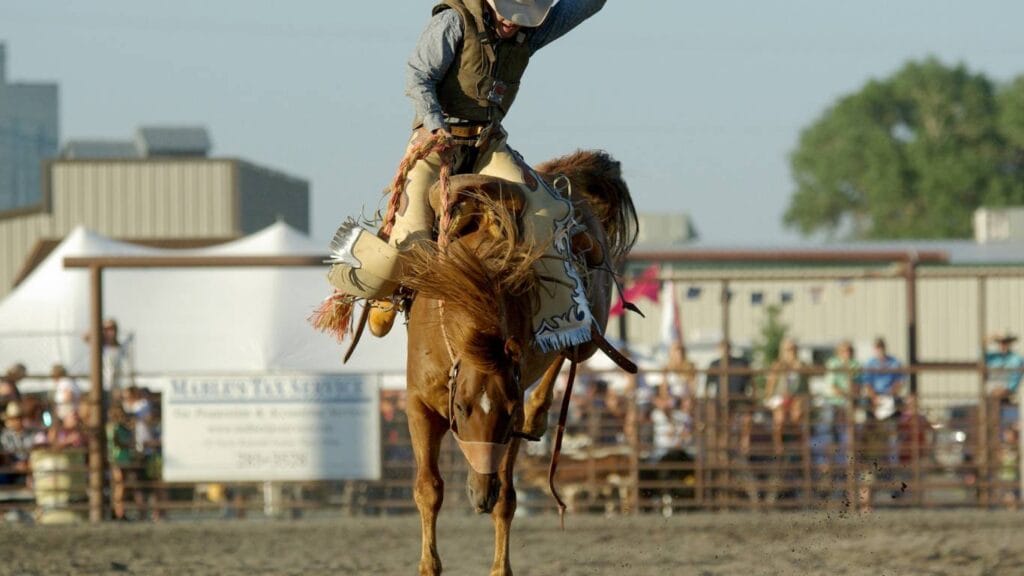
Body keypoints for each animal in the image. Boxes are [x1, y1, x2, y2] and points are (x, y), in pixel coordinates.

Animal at [397, 150, 630, 569]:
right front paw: (428, 565)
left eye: (506, 415)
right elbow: (429, 489)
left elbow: (507, 499)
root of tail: (566, 179)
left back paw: (539, 413)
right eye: (462, 407)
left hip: (591, 330)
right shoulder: (418, 404)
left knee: (570, 348)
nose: (480, 497)